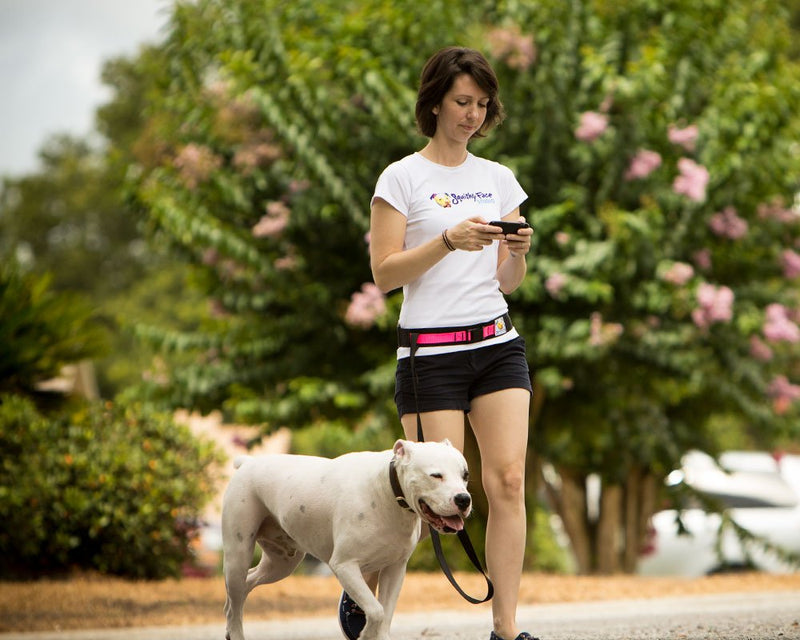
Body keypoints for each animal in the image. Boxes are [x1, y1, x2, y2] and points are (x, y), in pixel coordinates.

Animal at [220, 438, 468, 640]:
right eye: (436, 475)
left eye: (465, 475)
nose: (464, 499)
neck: (387, 491)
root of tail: (248, 463)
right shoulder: (344, 566)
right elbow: (376, 610)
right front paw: (365, 633)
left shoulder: (395, 569)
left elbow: (386, 612)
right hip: (238, 554)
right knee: (237, 592)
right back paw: (235, 631)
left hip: (282, 563)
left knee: (245, 586)